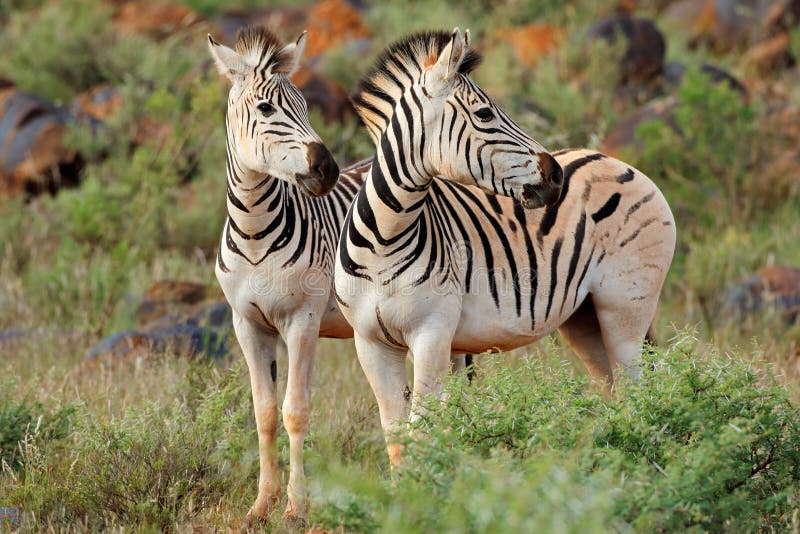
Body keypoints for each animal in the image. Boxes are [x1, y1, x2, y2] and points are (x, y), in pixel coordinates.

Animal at [334, 29, 680, 468]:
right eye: (484, 114)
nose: (556, 176)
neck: (384, 241)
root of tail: (618, 162)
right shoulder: (370, 343)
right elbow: (397, 440)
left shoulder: (432, 333)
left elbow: (421, 430)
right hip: (584, 318)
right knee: (615, 389)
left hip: (626, 305)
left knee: (640, 391)